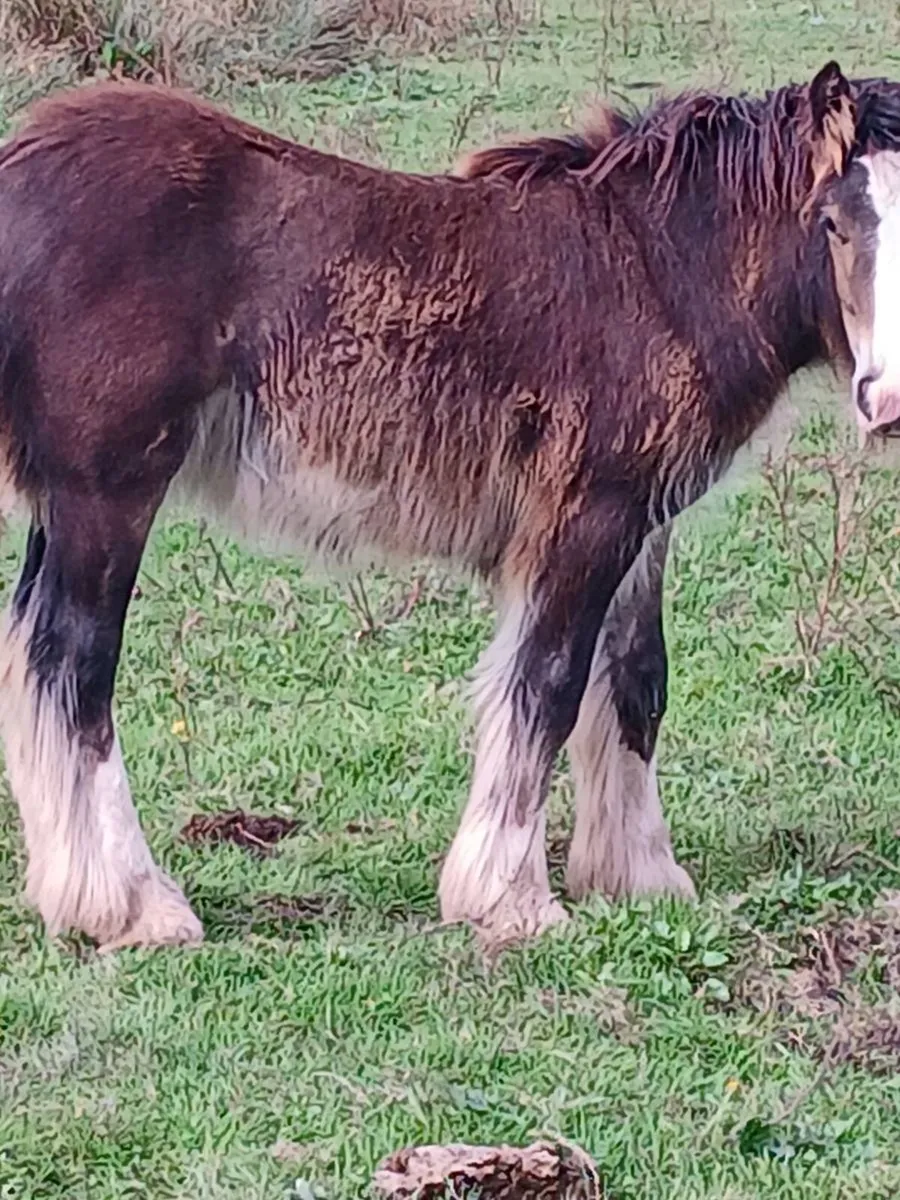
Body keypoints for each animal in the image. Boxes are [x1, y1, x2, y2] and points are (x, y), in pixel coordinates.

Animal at [0, 60, 895, 953]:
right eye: (832, 222)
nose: (885, 403)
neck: (659, 270)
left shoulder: (643, 525)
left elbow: (636, 682)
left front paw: (638, 878)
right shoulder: (585, 521)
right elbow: (548, 688)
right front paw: (509, 899)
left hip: (67, 502)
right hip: (110, 494)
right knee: (76, 666)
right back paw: (134, 904)